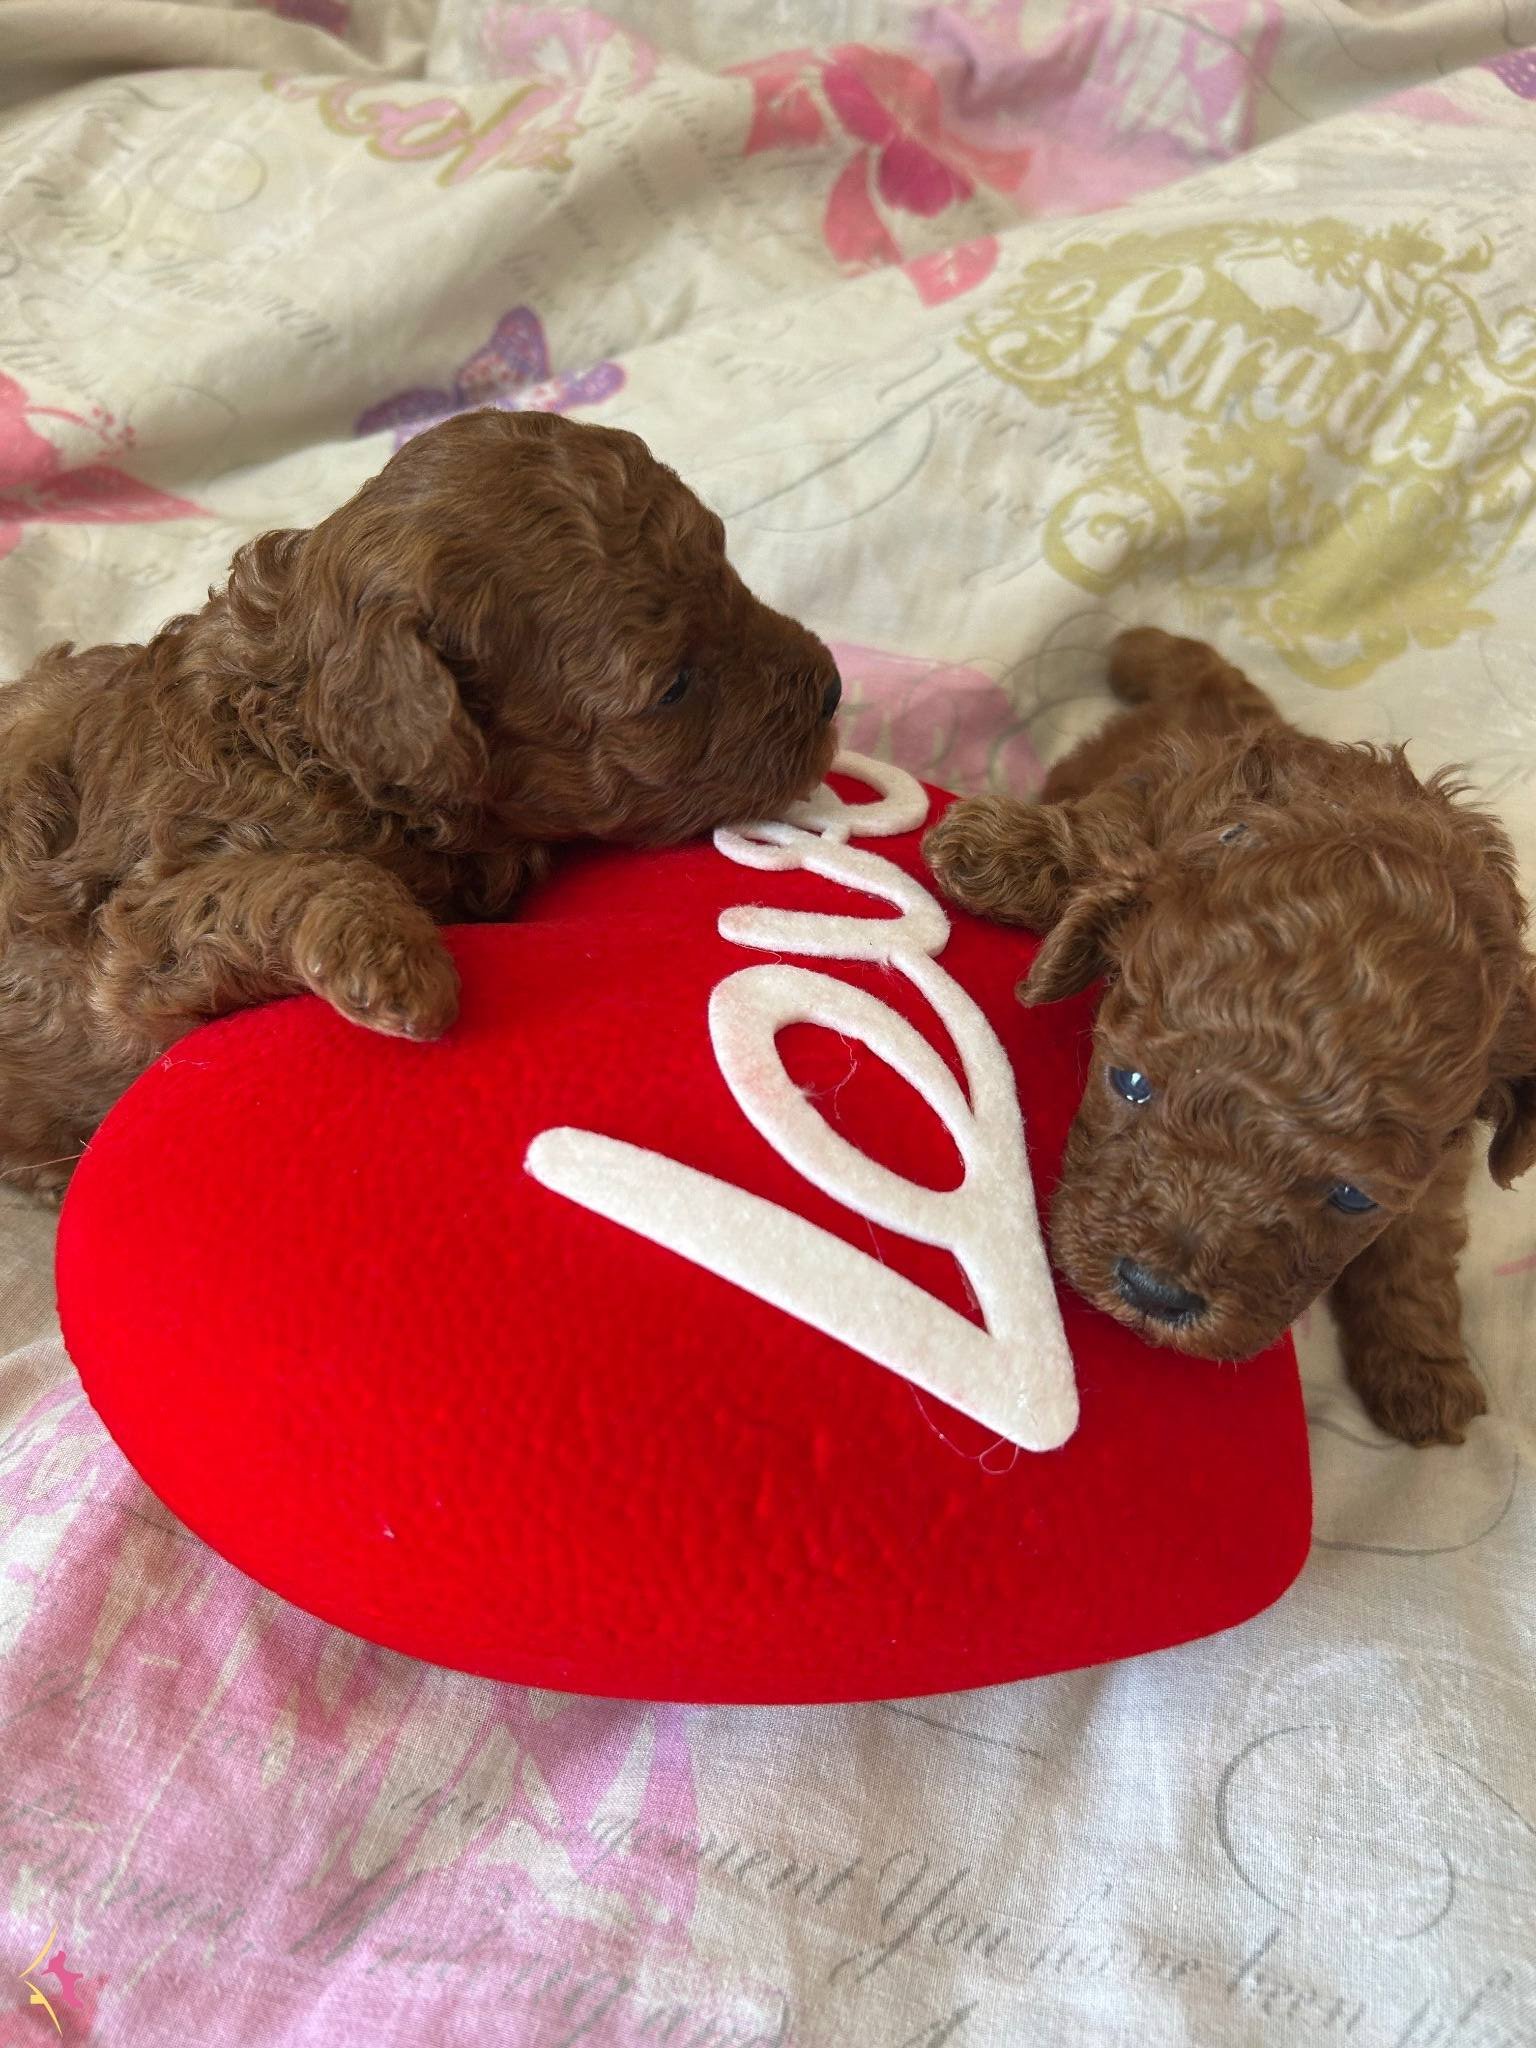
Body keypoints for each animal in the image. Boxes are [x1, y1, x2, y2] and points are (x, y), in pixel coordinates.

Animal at [0, 407, 841, 1201]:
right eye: (673, 687)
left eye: (727, 569)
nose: (834, 686)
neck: (307, 730)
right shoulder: (137, 943)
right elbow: (296, 877)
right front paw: (395, 964)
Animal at [923, 627, 1536, 1448]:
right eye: (1129, 1083)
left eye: (1352, 1198)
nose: (1155, 1292)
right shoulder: (1161, 796)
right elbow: (1105, 835)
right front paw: (1001, 852)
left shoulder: (1440, 1158)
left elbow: (1419, 1249)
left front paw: (1424, 1367)